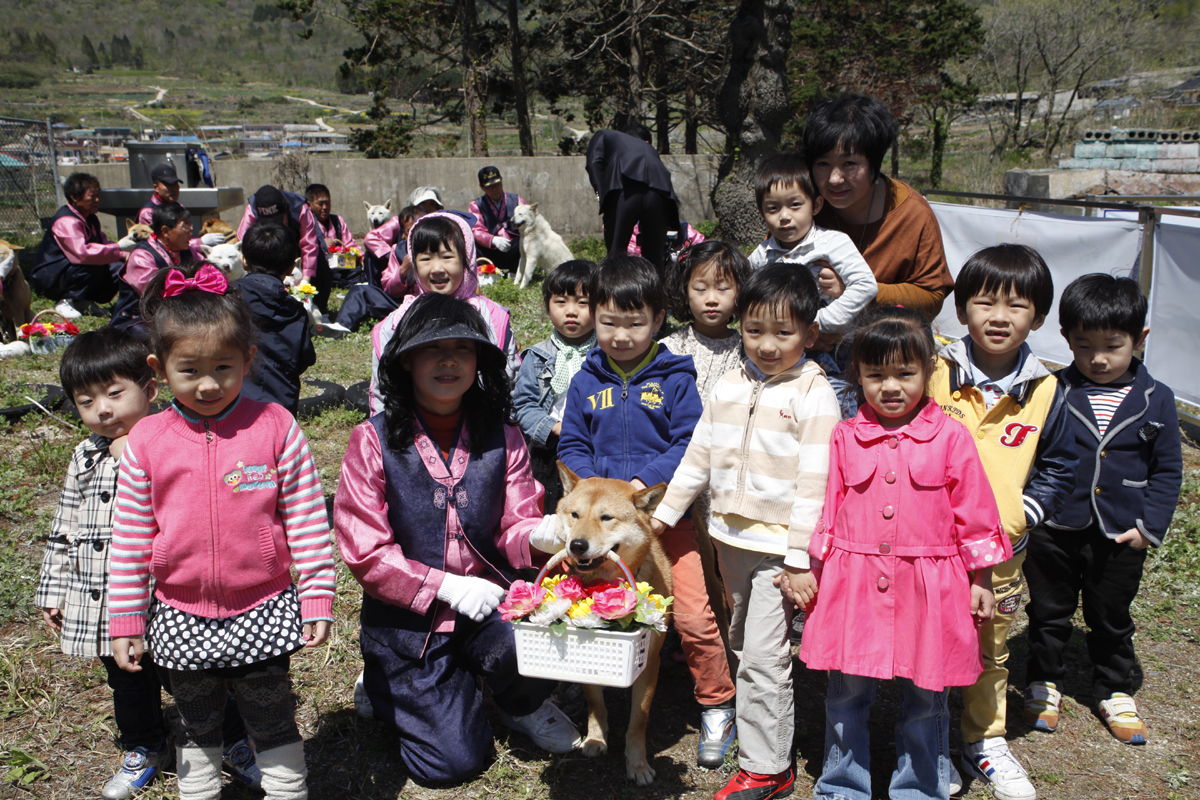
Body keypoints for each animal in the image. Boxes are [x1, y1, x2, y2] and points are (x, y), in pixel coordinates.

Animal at [554, 465, 676, 786]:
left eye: (606, 518)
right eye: (575, 515)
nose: (577, 545)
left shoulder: (649, 661)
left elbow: (639, 718)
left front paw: (637, 764)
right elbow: (595, 703)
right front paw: (596, 738)